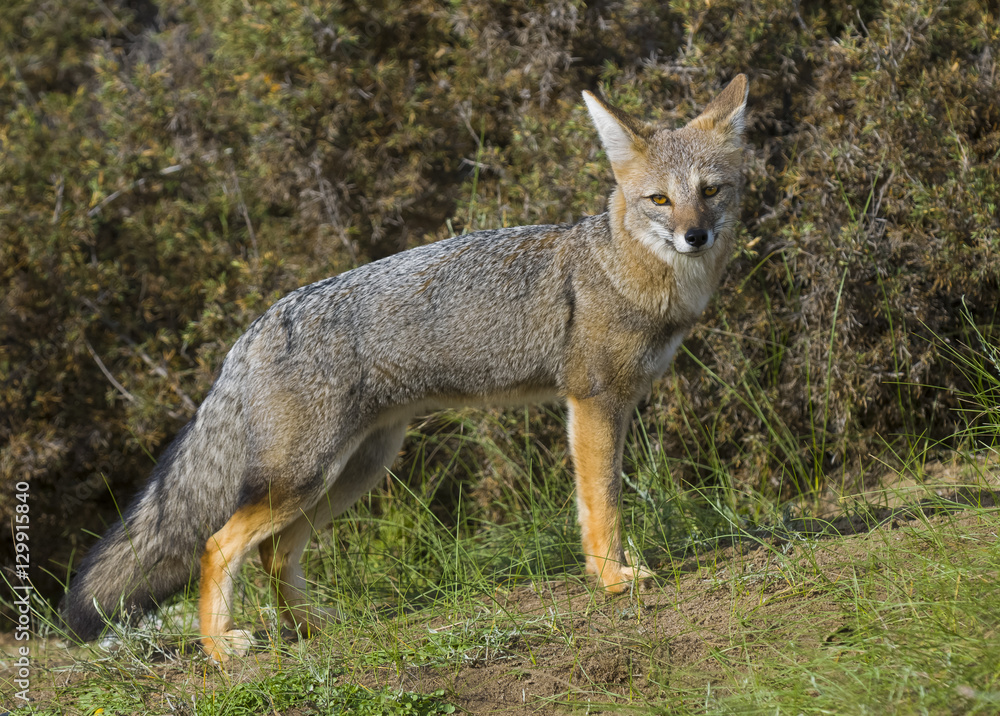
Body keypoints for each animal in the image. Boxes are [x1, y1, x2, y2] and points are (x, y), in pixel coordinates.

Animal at [60, 74, 752, 660]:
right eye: (659, 199)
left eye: (710, 192)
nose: (695, 236)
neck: (624, 270)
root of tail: (257, 326)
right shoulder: (593, 401)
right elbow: (602, 503)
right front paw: (612, 579)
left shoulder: (618, 403)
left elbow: (599, 500)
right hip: (307, 477)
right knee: (217, 545)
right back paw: (219, 646)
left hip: (353, 473)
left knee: (275, 554)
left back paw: (311, 629)